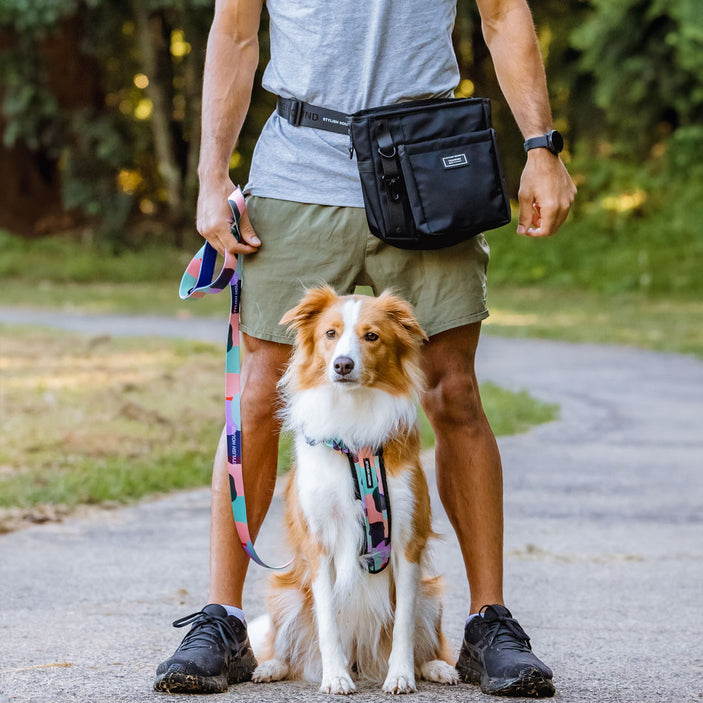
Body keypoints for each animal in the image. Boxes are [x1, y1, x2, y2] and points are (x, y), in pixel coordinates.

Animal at [250, 288, 460, 696]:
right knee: (287, 649)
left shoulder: (406, 541)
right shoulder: (319, 543)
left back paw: (436, 667)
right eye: (330, 334)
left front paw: (401, 675)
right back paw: (271, 666)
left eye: (372, 336)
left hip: (432, 596)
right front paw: (335, 676)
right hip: (284, 593)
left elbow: (403, 623)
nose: (343, 365)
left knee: (429, 640)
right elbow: (328, 619)